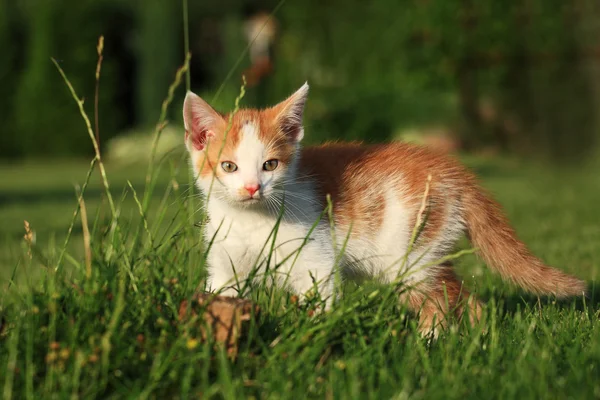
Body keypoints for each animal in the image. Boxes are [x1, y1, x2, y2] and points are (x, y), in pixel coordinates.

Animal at [184, 83, 584, 334]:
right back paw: (477, 336)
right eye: (228, 167)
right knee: (461, 293)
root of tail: (452, 169)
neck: (253, 220)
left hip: (409, 253)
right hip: (429, 249)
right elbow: (222, 294)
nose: (252, 188)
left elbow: (320, 300)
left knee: (438, 299)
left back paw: (430, 342)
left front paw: (315, 338)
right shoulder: (225, 262)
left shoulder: (316, 260)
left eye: (270, 165)